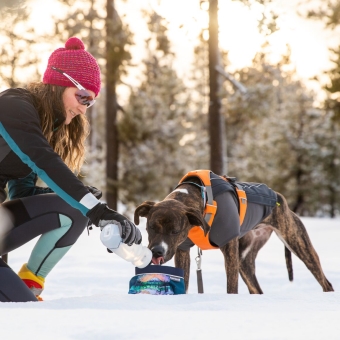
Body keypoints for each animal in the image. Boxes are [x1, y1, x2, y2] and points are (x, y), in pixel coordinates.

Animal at [134, 178, 334, 292]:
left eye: (175, 231)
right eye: (150, 227)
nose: (157, 251)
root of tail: (278, 196)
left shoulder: (229, 250)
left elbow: (231, 287)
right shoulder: (182, 251)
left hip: (298, 244)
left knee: (325, 282)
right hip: (244, 261)